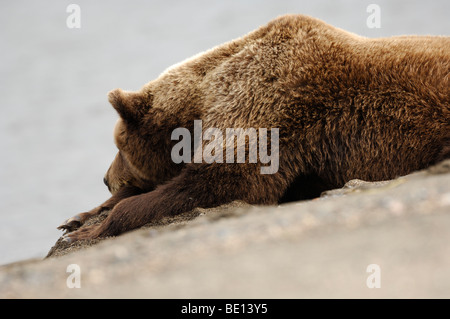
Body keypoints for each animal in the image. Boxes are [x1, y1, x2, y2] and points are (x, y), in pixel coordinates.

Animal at [58, 13, 448, 241]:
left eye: (119, 148)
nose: (105, 178)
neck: (201, 106)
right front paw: (78, 218)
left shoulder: (268, 112)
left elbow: (217, 183)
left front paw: (95, 228)